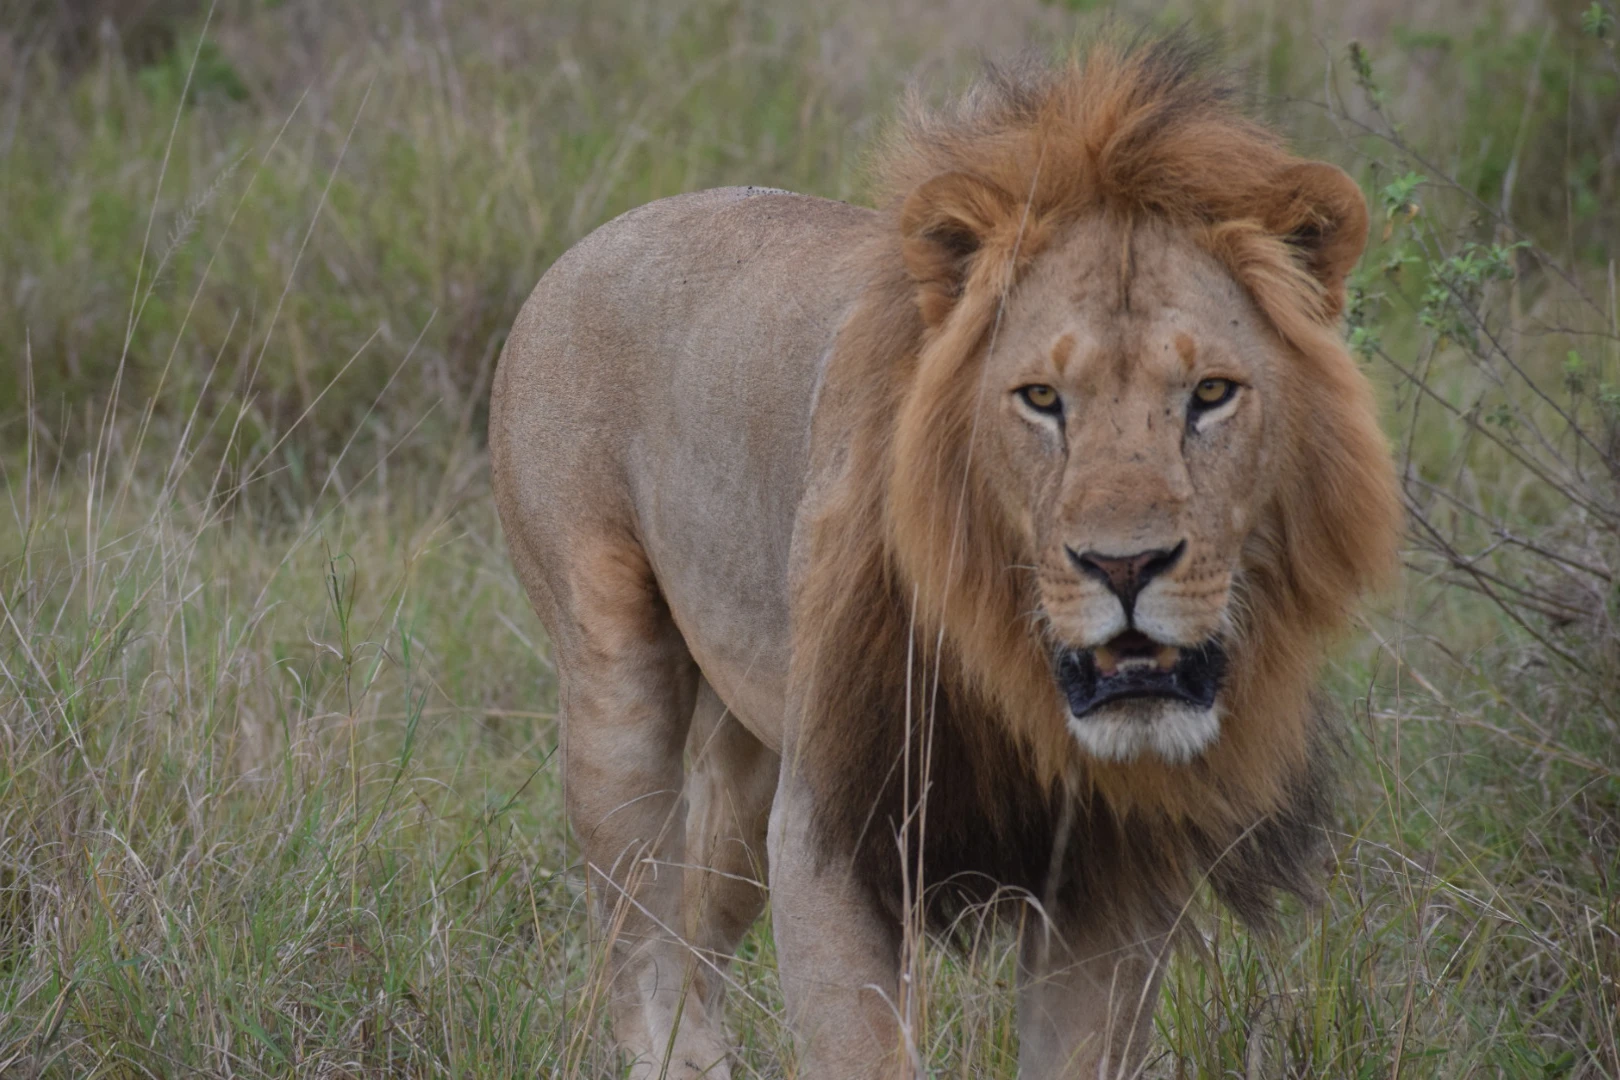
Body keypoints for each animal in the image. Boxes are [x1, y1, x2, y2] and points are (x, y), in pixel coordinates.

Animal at [489, 35, 1400, 1079]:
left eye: (1211, 393)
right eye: (1041, 398)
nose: (1124, 568)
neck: (1017, 674)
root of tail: (598, 237)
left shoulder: (1110, 874)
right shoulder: (831, 829)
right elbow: (860, 1050)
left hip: (750, 747)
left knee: (694, 926)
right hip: (615, 679)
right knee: (640, 950)